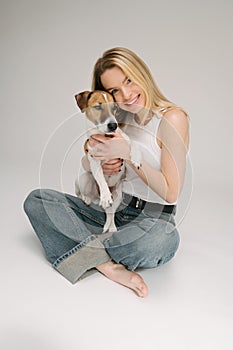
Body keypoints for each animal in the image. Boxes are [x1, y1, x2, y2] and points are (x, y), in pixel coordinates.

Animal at [74, 89, 140, 232]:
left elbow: (132, 143)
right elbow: (100, 178)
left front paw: (137, 158)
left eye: (114, 107)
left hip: (118, 195)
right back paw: (88, 199)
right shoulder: (94, 161)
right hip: (85, 178)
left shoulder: (124, 140)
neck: (106, 137)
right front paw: (105, 195)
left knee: (111, 212)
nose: (113, 125)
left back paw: (112, 227)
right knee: (82, 194)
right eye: (98, 107)